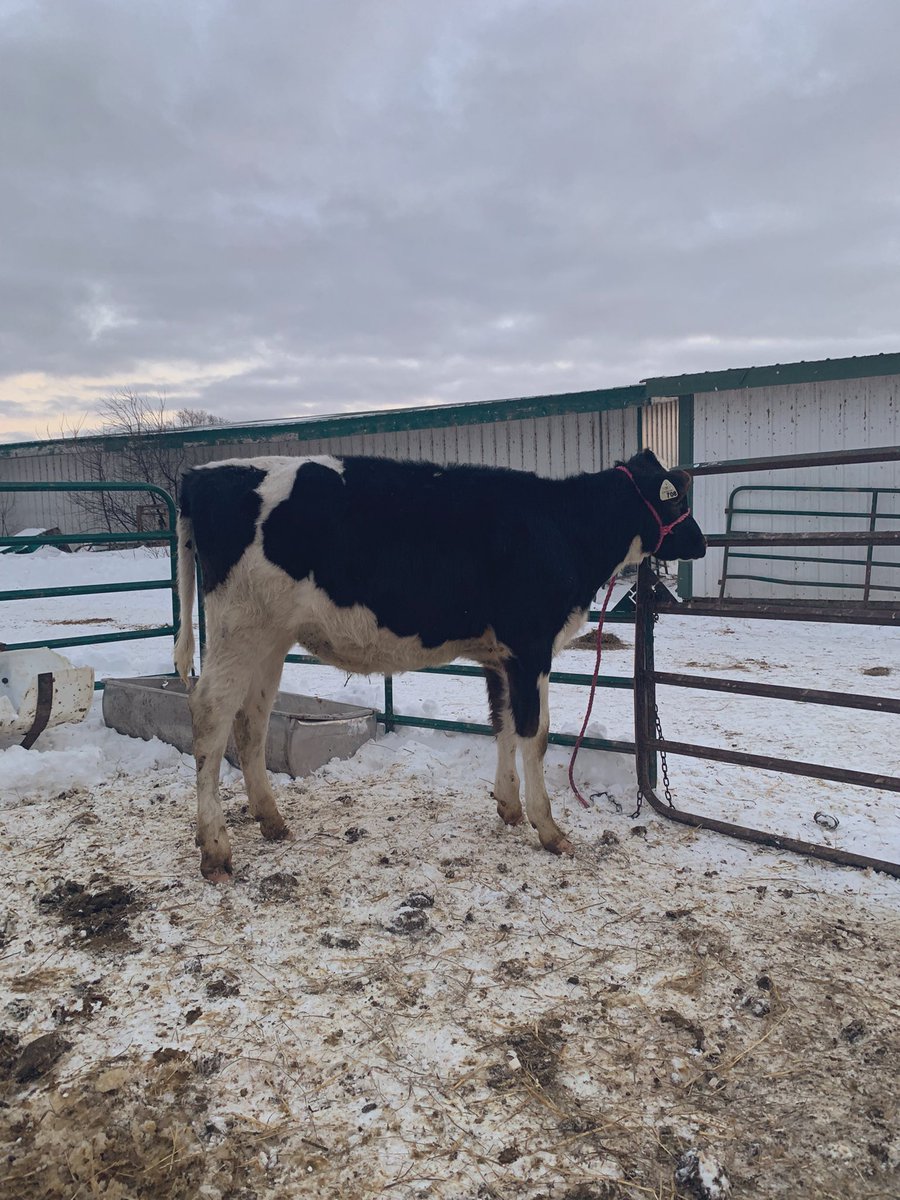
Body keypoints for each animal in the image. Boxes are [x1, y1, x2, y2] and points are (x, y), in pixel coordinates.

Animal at [174, 449, 706, 880]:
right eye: (677, 500)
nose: (700, 543)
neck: (562, 528)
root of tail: (201, 475)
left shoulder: (500, 656)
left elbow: (502, 724)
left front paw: (508, 806)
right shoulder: (530, 645)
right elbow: (534, 734)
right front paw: (549, 828)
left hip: (269, 640)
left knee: (251, 722)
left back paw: (271, 820)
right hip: (239, 629)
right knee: (210, 714)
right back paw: (216, 849)